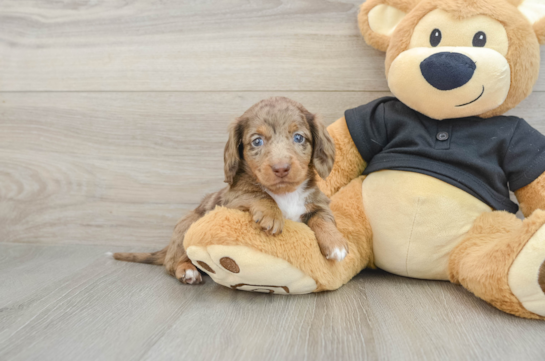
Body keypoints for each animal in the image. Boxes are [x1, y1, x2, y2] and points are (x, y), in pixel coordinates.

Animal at [113, 95, 348, 284]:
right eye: (257, 141)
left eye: (298, 137)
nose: (281, 168)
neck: (285, 195)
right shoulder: (232, 201)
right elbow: (256, 194)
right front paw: (272, 214)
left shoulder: (317, 202)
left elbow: (323, 218)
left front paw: (335, 242)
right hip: (187, 226)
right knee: (171, 264)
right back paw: (187, 271)